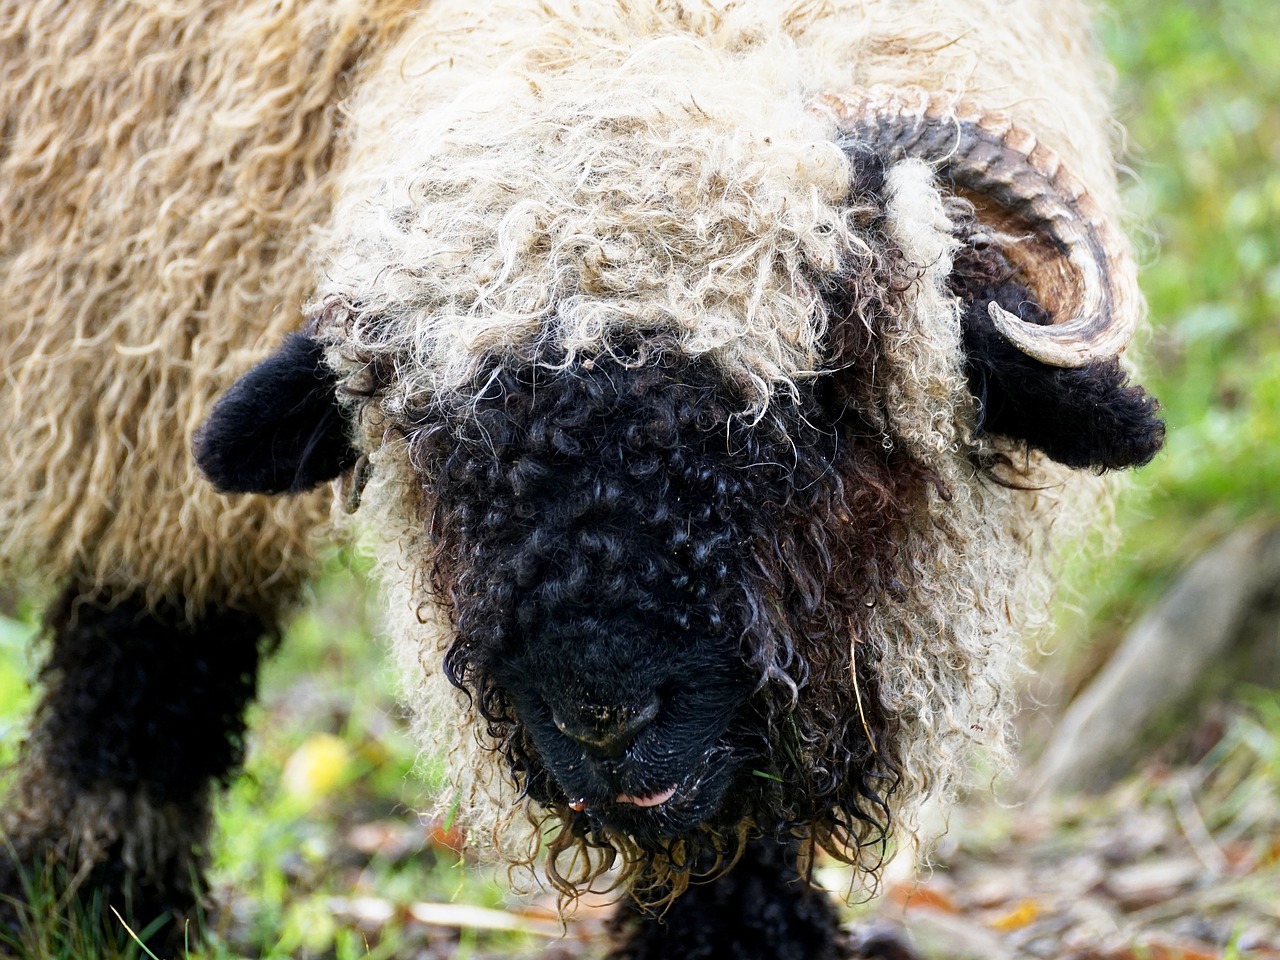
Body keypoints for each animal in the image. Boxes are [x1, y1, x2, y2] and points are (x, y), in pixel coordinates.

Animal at [0, 0, 1164, 957]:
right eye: (433, 443)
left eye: (821, 404)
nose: (600, 716)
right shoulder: (132, 370)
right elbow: (141, 681)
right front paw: (93, 912)